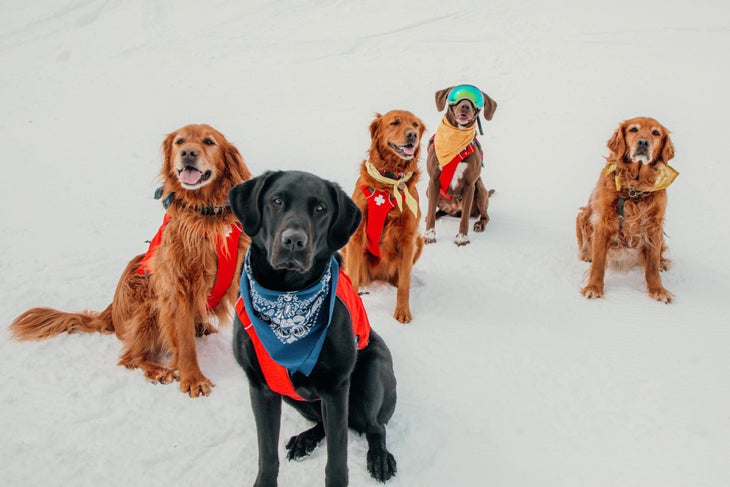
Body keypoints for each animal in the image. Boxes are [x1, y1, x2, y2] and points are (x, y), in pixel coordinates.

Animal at [229, 170, 396, 486]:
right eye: (276, 201)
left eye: (320, 208)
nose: (294, 241)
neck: (287, 295)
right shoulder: (261, 386)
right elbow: (267, 455)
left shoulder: (336, 387)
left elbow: (337, 461)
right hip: (293, 395)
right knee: (323, 423)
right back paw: (305, 439)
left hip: (372, 374)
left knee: (375, 427)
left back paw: (380, 458)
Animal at [342, 110, 424, 324]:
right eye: (395, 122)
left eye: (415, 125)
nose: (412, 135)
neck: (389, 182)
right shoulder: (356, 236)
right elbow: (352, 279)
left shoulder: (408, 238)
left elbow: (404, 284)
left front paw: (402, 311)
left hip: (419, 241)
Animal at [576, 117, 676, 304]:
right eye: (633, 129)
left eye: (656, 133)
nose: (643, 142)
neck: (633, 190)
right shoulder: (603, 222)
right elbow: (598, 263)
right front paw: (593, 287)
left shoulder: (654, 226)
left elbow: (652, 266)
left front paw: (658, 290)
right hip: (582, 215)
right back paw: (587, 255)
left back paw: (662, 262)